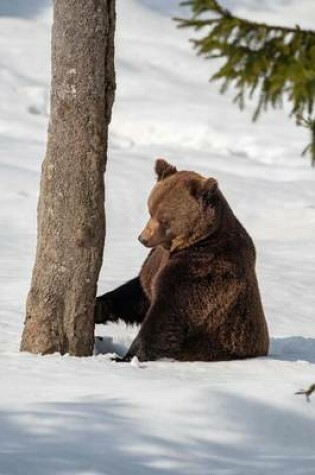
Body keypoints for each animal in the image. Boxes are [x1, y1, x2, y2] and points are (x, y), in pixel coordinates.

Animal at [95, 158, 270, 362]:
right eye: (150, 210)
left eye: (164, 218)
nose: (143, 238)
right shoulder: (156, 262)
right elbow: (138, 292)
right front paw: (98, 306)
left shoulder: (199, 270)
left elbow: (166, 315)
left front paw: (125, 357)